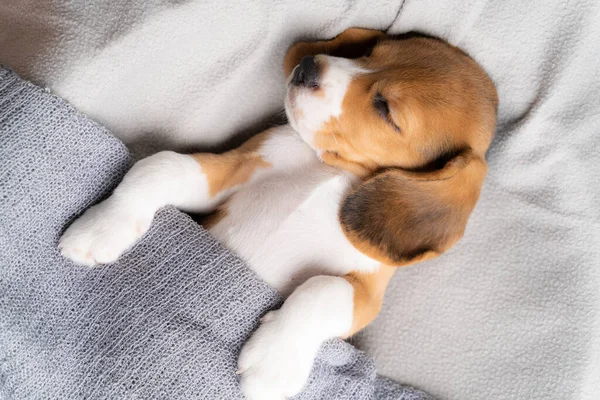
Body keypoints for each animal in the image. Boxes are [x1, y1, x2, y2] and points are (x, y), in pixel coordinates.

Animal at [58, 28, 496, 400]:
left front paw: (273, 364)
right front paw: (103, 226)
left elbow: (322, 289)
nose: (308, 67)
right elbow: (160, 167)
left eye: (386, 109)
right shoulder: (234, 169)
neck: (331, 171)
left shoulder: (367, 291)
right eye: (371, 52)